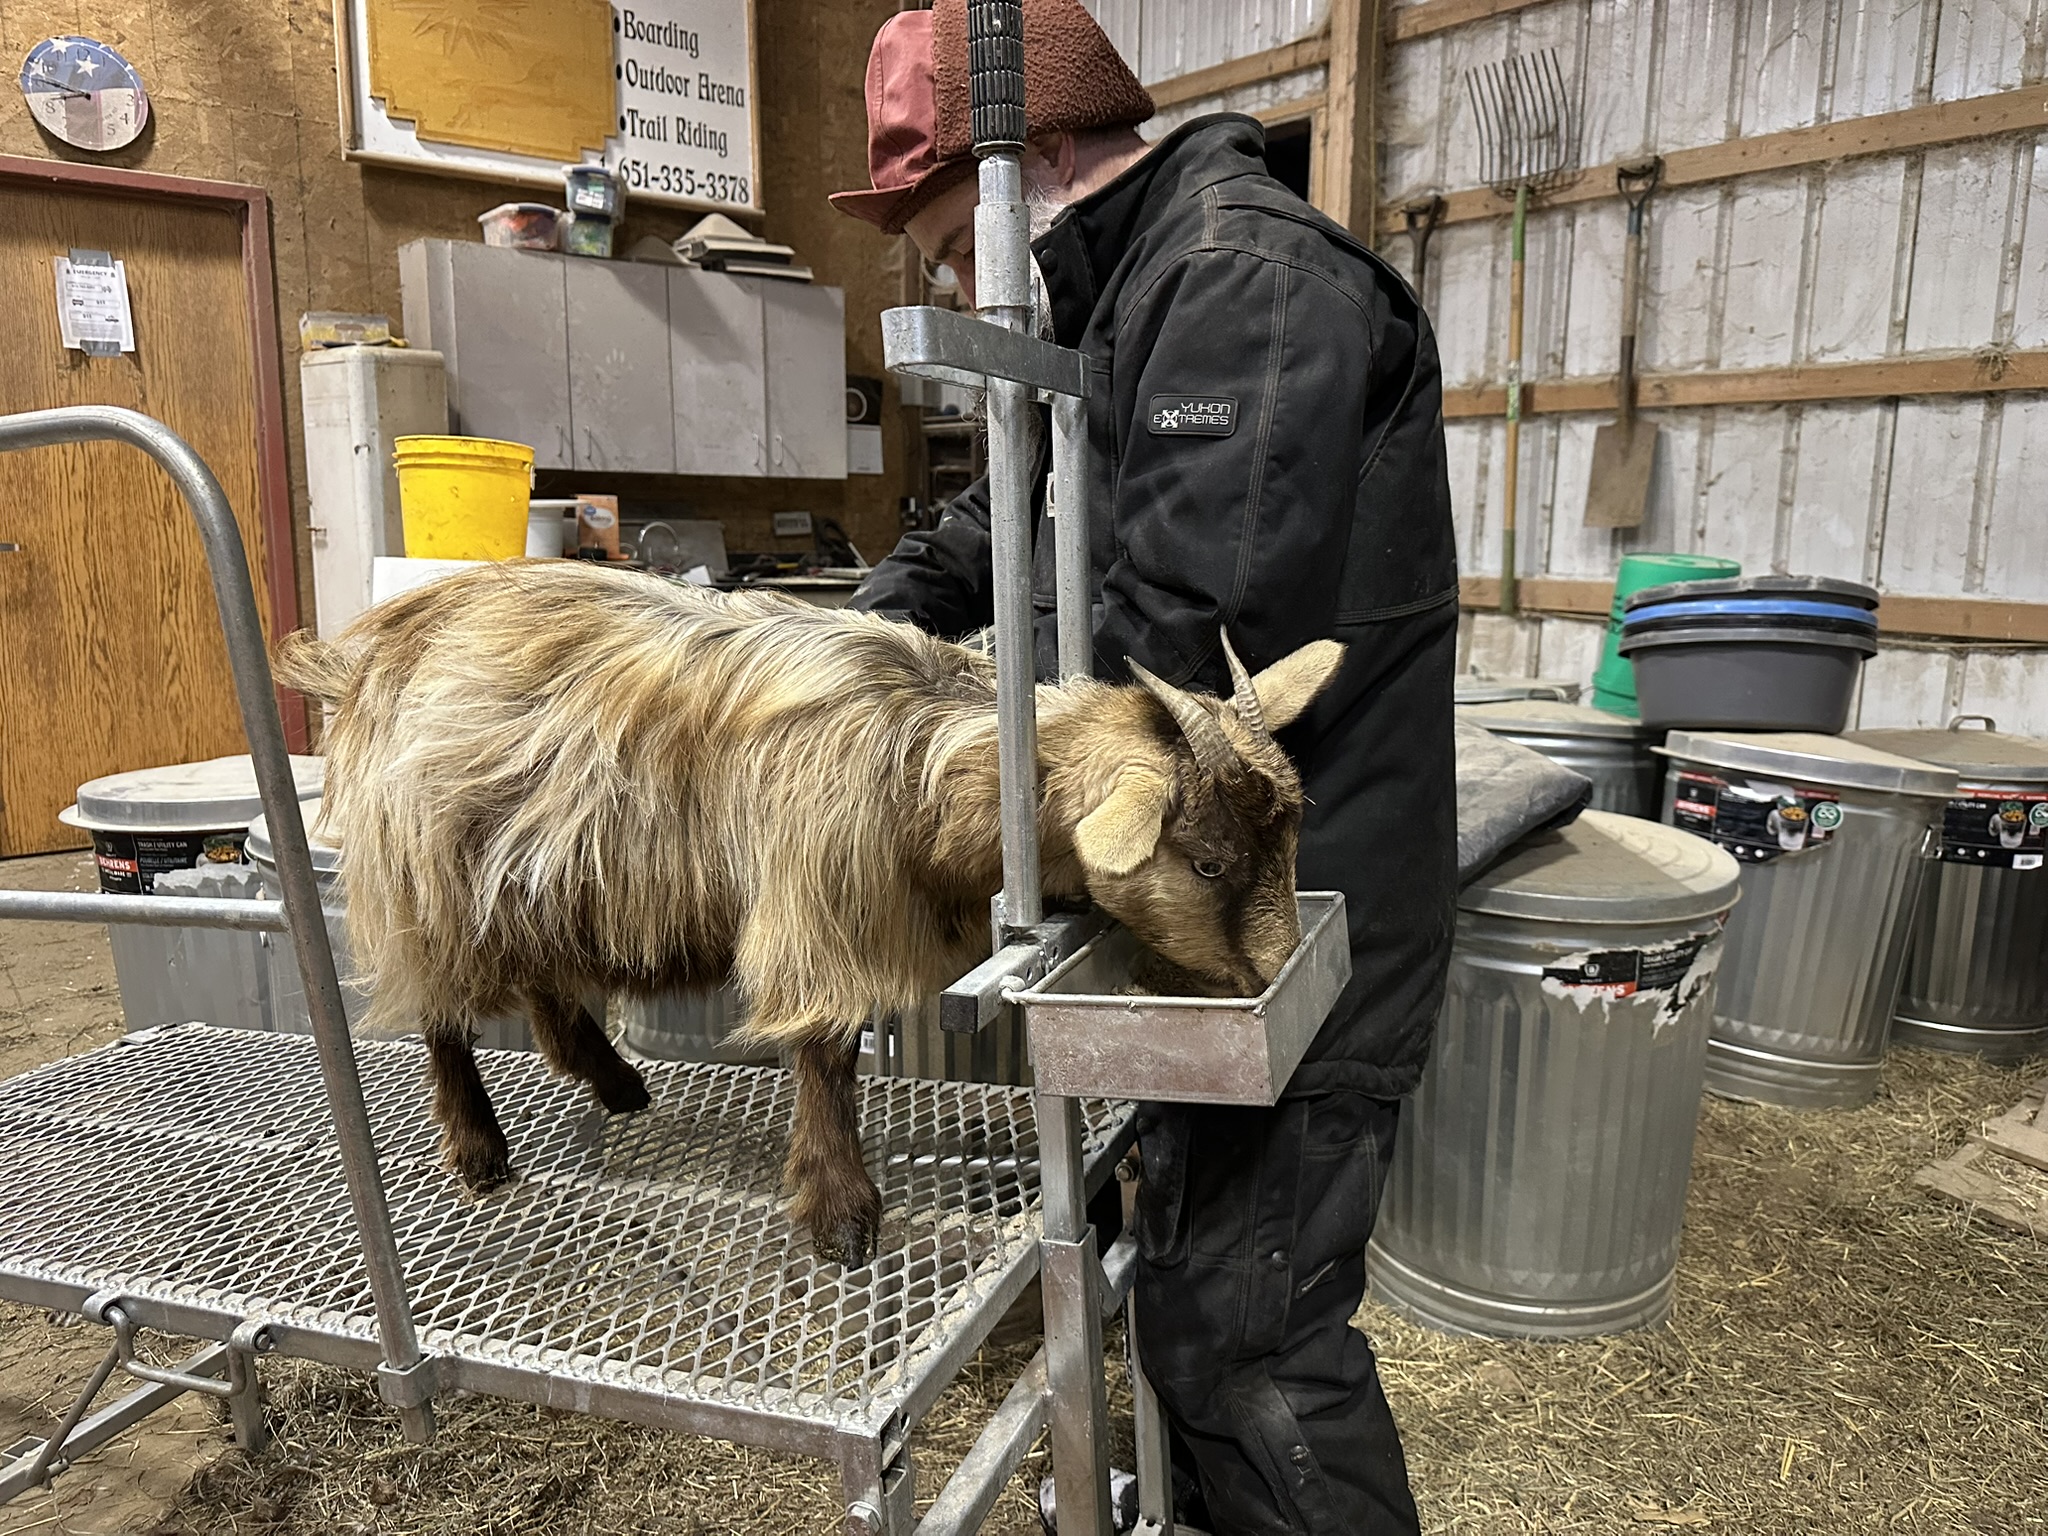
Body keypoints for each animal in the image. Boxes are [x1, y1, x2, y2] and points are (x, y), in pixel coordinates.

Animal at [276, 561, 1342, 1266]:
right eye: (1208, 859)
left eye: (1291, 837)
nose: (1272, 978)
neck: (932, 758)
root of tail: (367, 651)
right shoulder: (814, 903)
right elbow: (825, 1049)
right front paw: (841, 1212)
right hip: (427, 881)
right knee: (442, 1014)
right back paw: (477, 1149)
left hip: (535, 874)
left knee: (544, 990)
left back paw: (612, 1080)